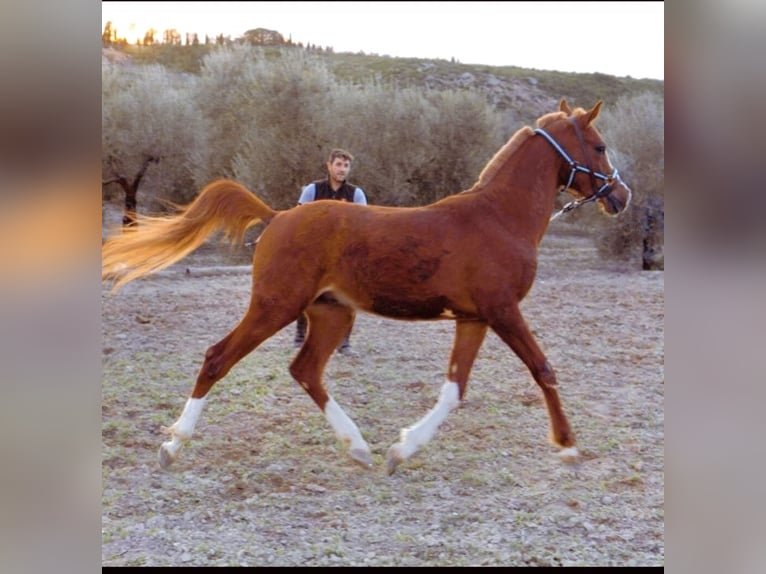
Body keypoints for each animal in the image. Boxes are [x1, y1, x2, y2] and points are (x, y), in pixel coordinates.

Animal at [102, 99, 631, 475]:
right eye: (600, 146)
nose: (622, 197)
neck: (499, 218)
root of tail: (277, 217)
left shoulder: (474, 317)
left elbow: (455, 389)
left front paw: (401, 450)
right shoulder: (502, 310)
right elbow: (543, 369)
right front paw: (568, 447)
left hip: (332, 313)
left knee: (305, 370)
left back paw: (358, 448)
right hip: (276, 306)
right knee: (218, 358)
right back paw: (173, 445)